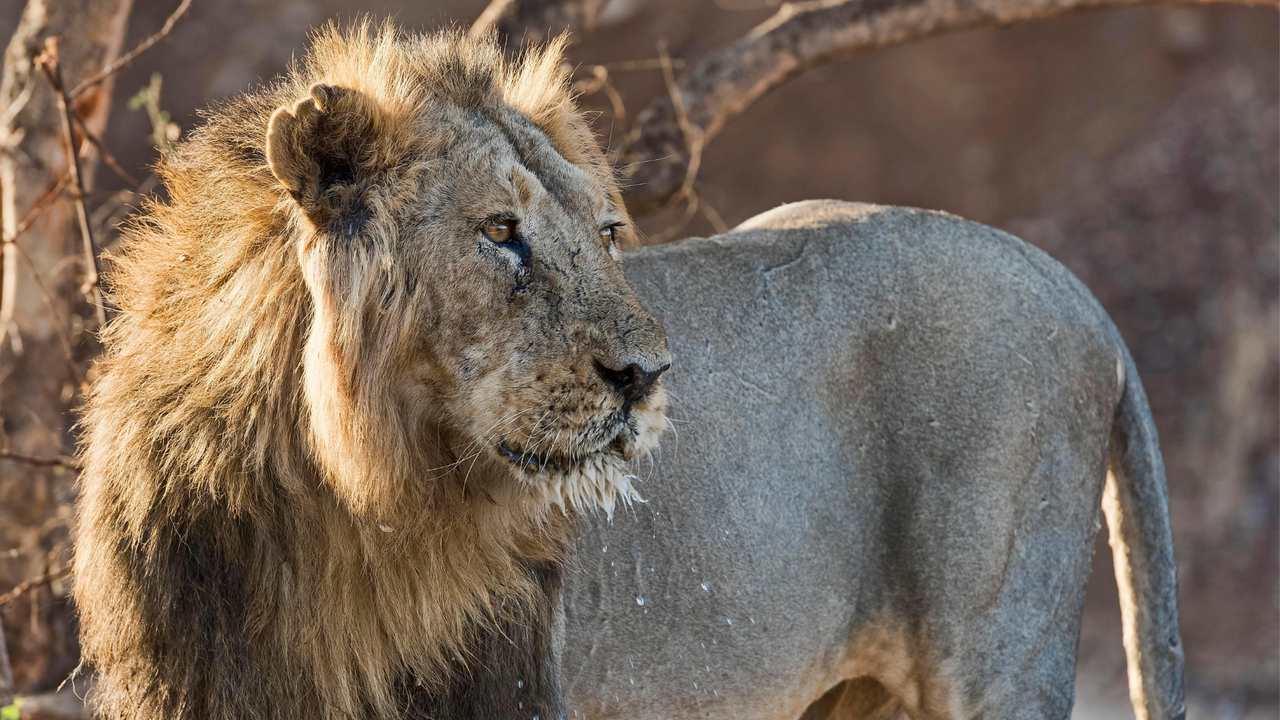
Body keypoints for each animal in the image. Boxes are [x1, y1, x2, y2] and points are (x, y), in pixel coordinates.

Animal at [74, 22, 1182, 717]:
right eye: (501, 233)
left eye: (606, 233)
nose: (648, 373)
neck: (329, 507)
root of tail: (1074, 291)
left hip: (993, 654)